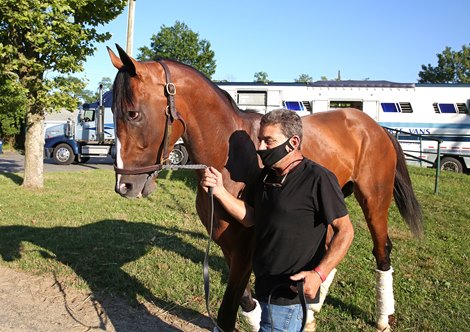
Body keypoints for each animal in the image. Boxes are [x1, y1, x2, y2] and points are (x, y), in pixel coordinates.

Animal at [107, 44, 422, 332]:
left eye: (133, 114)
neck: (229, 156)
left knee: (381, 250)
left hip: (373, 201)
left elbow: (226, 313)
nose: (125, 185)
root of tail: (375, 127)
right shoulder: (227, 244)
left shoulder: (245, 249)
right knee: (332, 245)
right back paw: (312, 308)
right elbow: (246, 300)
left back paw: (382, 318)